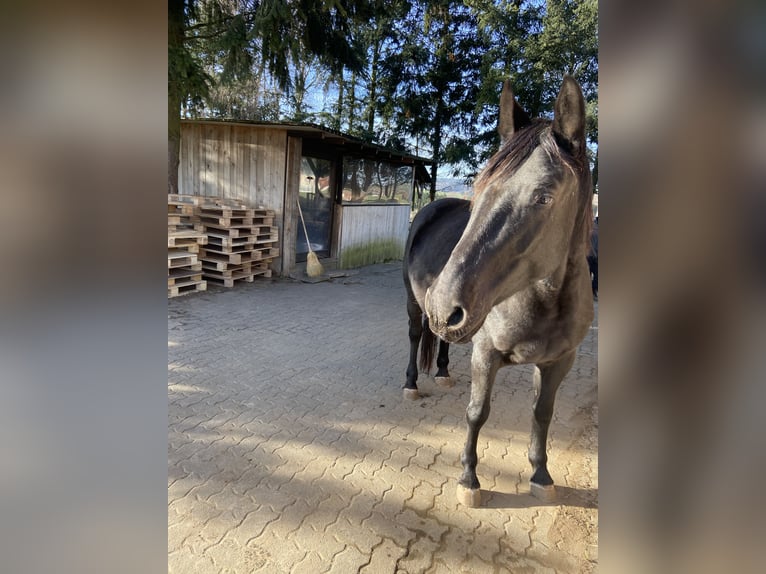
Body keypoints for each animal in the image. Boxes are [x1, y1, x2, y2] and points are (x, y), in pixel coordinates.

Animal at [402, 76, 594, 507]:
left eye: (544, 196)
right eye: (481, 184)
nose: (442, 303)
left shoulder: (560, 361)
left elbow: (542, 412)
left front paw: (540, 474)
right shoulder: (486, 354)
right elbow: (477, 412)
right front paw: (468, 479)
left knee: (442, 339)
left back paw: (442, 373)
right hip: (415, 304)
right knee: (416, 335)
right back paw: (411, 384)